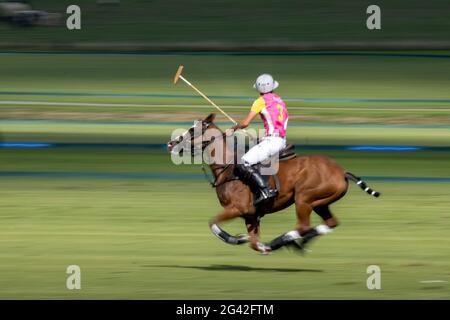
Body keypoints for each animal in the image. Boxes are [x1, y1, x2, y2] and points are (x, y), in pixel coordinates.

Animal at [166, 114, 380, 254]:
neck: (227, 169)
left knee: (303, 226)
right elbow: (253, 243)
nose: (171, 144)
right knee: (329, 223)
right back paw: (294, 243)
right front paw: (250, 241)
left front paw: (239, 238)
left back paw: (283, 241)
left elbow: (213, 223)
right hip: (321, 202)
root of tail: (342, 171)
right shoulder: (251, 215)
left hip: (304, 199)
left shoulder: (237, 208)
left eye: (192, 129)